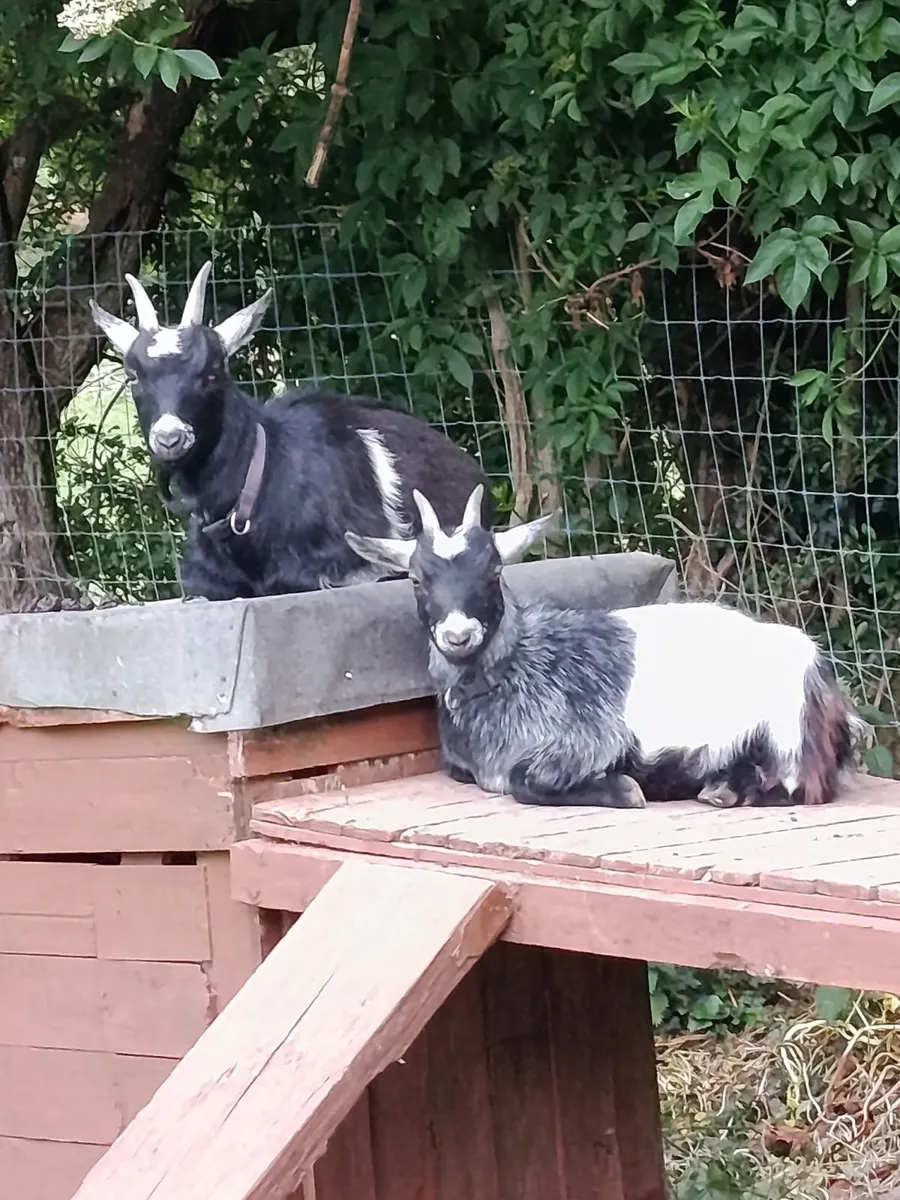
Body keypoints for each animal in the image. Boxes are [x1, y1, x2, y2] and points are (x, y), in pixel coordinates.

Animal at [345, 484, 862, 810]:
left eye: (492, 572)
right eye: (416, 578)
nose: (458, 635)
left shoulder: (587, 740)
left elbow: (523, 782)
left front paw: (624, 789)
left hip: (789, 736)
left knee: (802, 786)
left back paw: (722, 789)